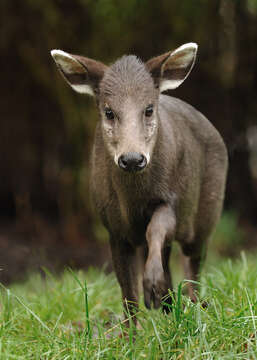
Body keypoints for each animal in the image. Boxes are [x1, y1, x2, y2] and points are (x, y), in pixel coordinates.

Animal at [51, 43, 227, 324]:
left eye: (148, 109)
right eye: (109, 112)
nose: (132, 158)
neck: (133, 199)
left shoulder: (172, 199)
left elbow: (155, 229)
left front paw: (152, 287)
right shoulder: (113, 228)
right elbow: (128, 293)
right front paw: (131, 330)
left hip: (207, 213)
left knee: (193, 264)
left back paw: (194, 308)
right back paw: (170, 308)